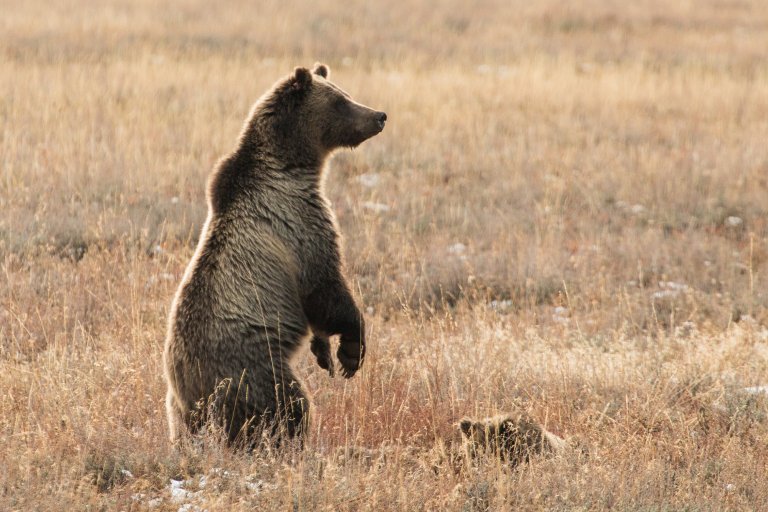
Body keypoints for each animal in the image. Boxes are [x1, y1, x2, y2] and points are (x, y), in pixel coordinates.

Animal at [163, 63, 386, 448]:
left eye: (345, 92)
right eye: (340, 102)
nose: (379, 116)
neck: (292, 164)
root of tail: (191, 392)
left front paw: (324, 352)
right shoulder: (298, 222)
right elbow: (326, 288)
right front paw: (351, 352)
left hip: (177, 408)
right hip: (252, 366)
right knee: (287, 404)